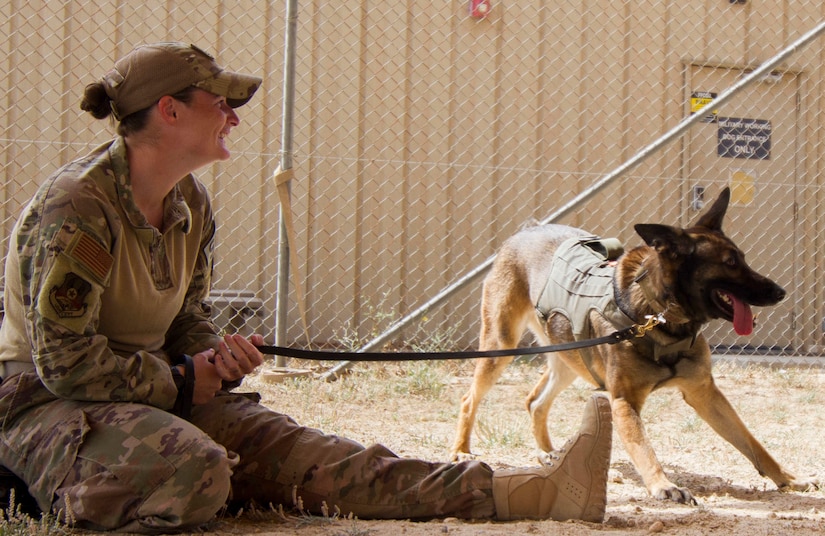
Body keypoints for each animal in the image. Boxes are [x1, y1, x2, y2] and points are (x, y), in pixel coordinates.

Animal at [450, 187, 816, 502]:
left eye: (742, 258)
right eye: (729, 263)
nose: (780, 292)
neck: (662, 318)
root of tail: (528, 230)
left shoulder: (706, 394)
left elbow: (753, 443)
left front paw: (789, 479)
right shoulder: (624, 401)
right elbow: (643, 447)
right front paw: (663, 485)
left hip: (570, 357)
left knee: (535, 402)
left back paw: (548, 453)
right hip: (501, 344)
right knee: (470, 398)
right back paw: (462, 450)